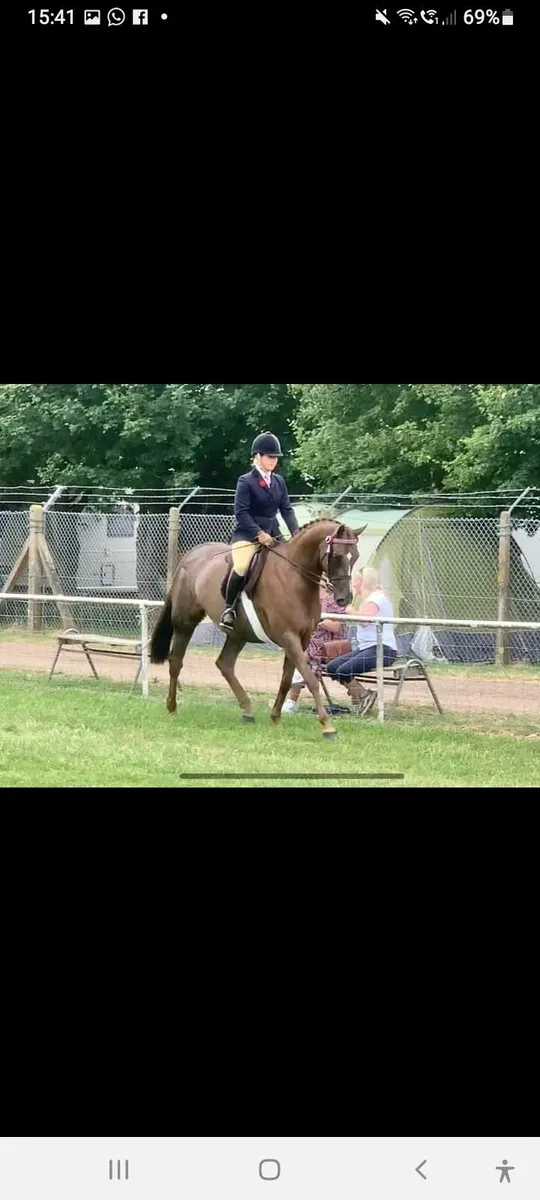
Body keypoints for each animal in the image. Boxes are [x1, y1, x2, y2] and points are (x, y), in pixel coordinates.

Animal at [149, 519, 365, 738]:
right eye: (337, 556)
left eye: (355, 556)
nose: (344, 599)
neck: (295, 578)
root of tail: (191, 555)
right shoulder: (288, 636)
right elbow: (310, 679)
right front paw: (327, 726)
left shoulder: (302, 639)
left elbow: (287, 680)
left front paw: (276, 718)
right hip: (185, 622)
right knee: (176, 661)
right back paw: (172, 707)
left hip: (238, 633)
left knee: (224, 664)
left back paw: (247, 711)